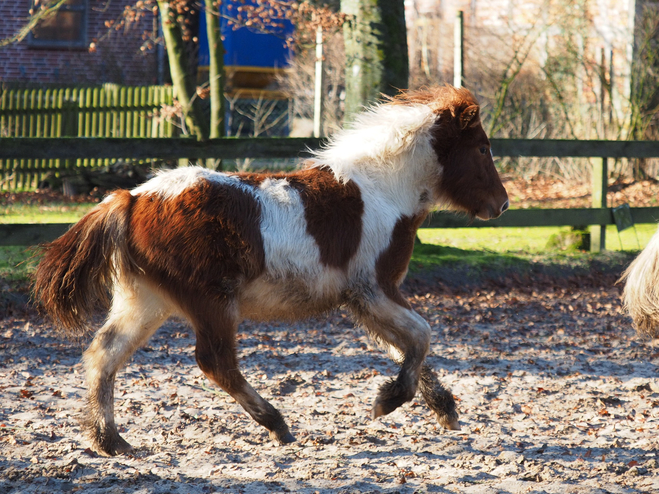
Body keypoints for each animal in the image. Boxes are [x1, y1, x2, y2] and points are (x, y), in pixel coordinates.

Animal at [34, 86, 510, 456]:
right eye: (483, 148)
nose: (502, 204)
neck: (382, 191)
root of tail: (131, 198)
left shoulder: (365, 301)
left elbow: (407, 346)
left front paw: (444, 409)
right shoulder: (374, 289)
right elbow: (421, 336)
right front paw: (388, 402)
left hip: (145, 301)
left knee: (104, 353)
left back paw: (111, 442)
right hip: (211, 302)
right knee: (215, 362)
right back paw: (277, 425)